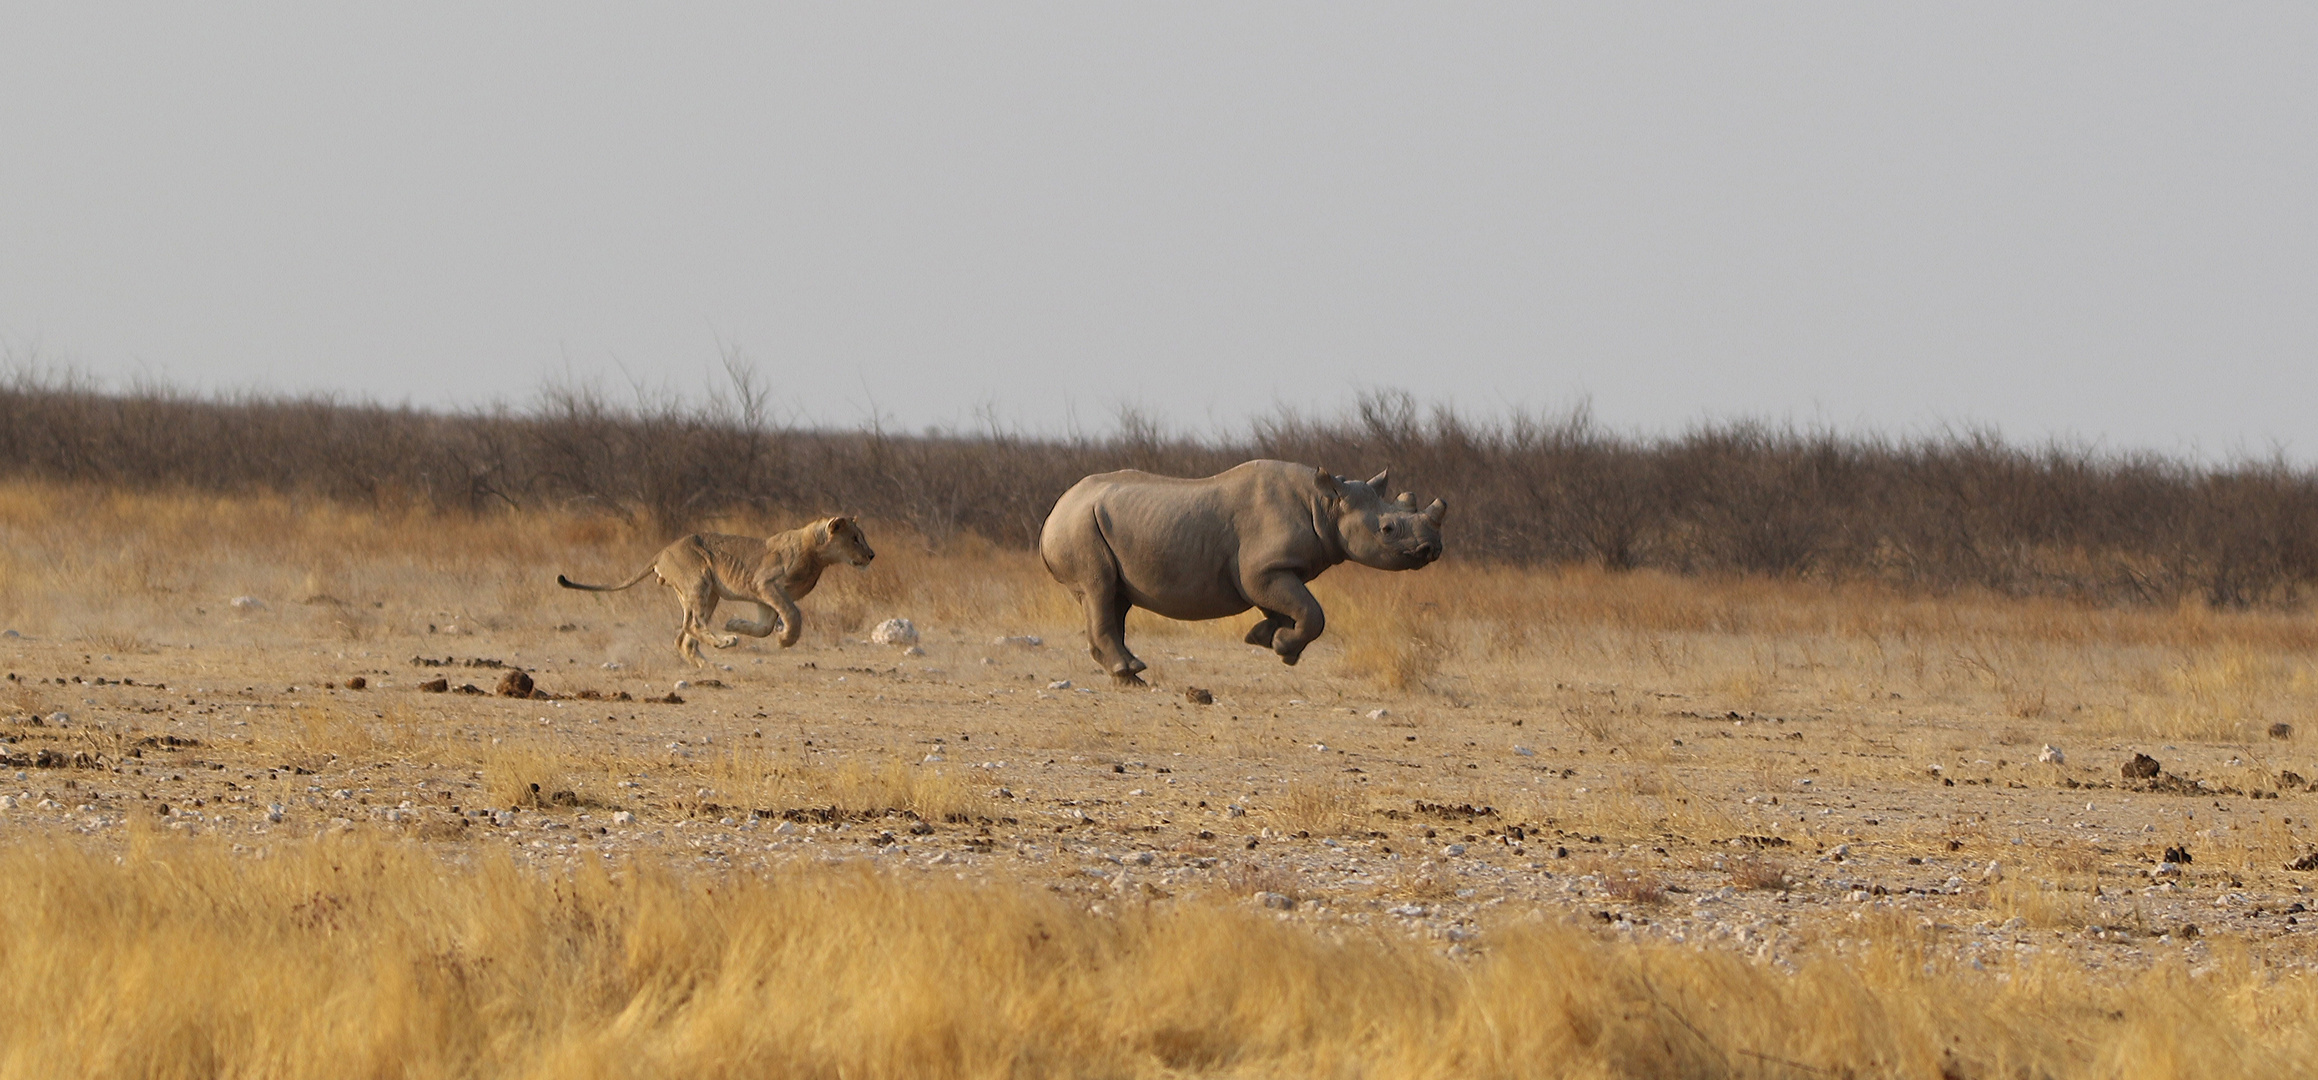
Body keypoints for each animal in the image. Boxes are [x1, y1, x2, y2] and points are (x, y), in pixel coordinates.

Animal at [560, 516, 876, 662]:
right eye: (855, 538)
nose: (872, 555)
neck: (820, 557)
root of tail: (662, 551)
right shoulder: (767, 584)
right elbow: (794, 615)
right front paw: (785, 639)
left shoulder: (763, 597)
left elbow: (764, 626)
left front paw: (735, 623)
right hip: (699, 582)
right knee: (693, 624)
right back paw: (725, 642)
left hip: (707, 592)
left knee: (684, 635)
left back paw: (706, 663)